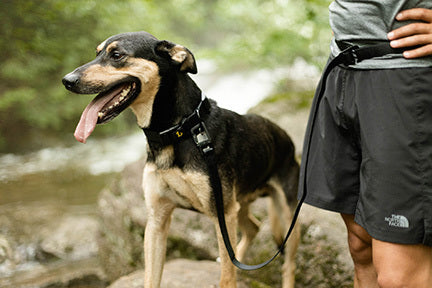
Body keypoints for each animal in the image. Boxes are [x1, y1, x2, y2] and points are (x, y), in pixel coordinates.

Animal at [62, 31, 300, 288]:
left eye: (116, 55)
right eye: (97, 53)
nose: (67, 80)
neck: (181, 131)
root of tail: (285, 137)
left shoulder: (223, 215)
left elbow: (227, 276)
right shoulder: (157, 220)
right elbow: (151, 279)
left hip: (287, 216)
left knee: (287, 264)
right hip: (240, 204)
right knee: (253, 229)